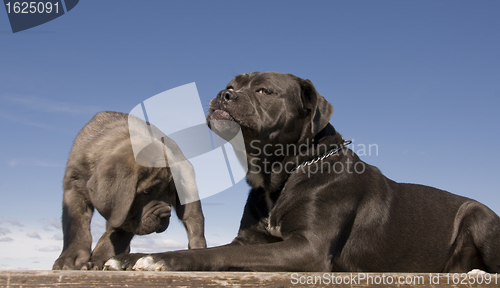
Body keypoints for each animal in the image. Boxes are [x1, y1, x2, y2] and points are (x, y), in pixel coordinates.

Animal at [52, 111, 205, 270]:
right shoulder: (74, 187)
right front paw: (70, 259)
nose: (165, 215)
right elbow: (76, 225)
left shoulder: (124, 213)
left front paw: (98, 258)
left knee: (194, 225)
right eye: (147, 191)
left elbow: (114, 237)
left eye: (171, 192)